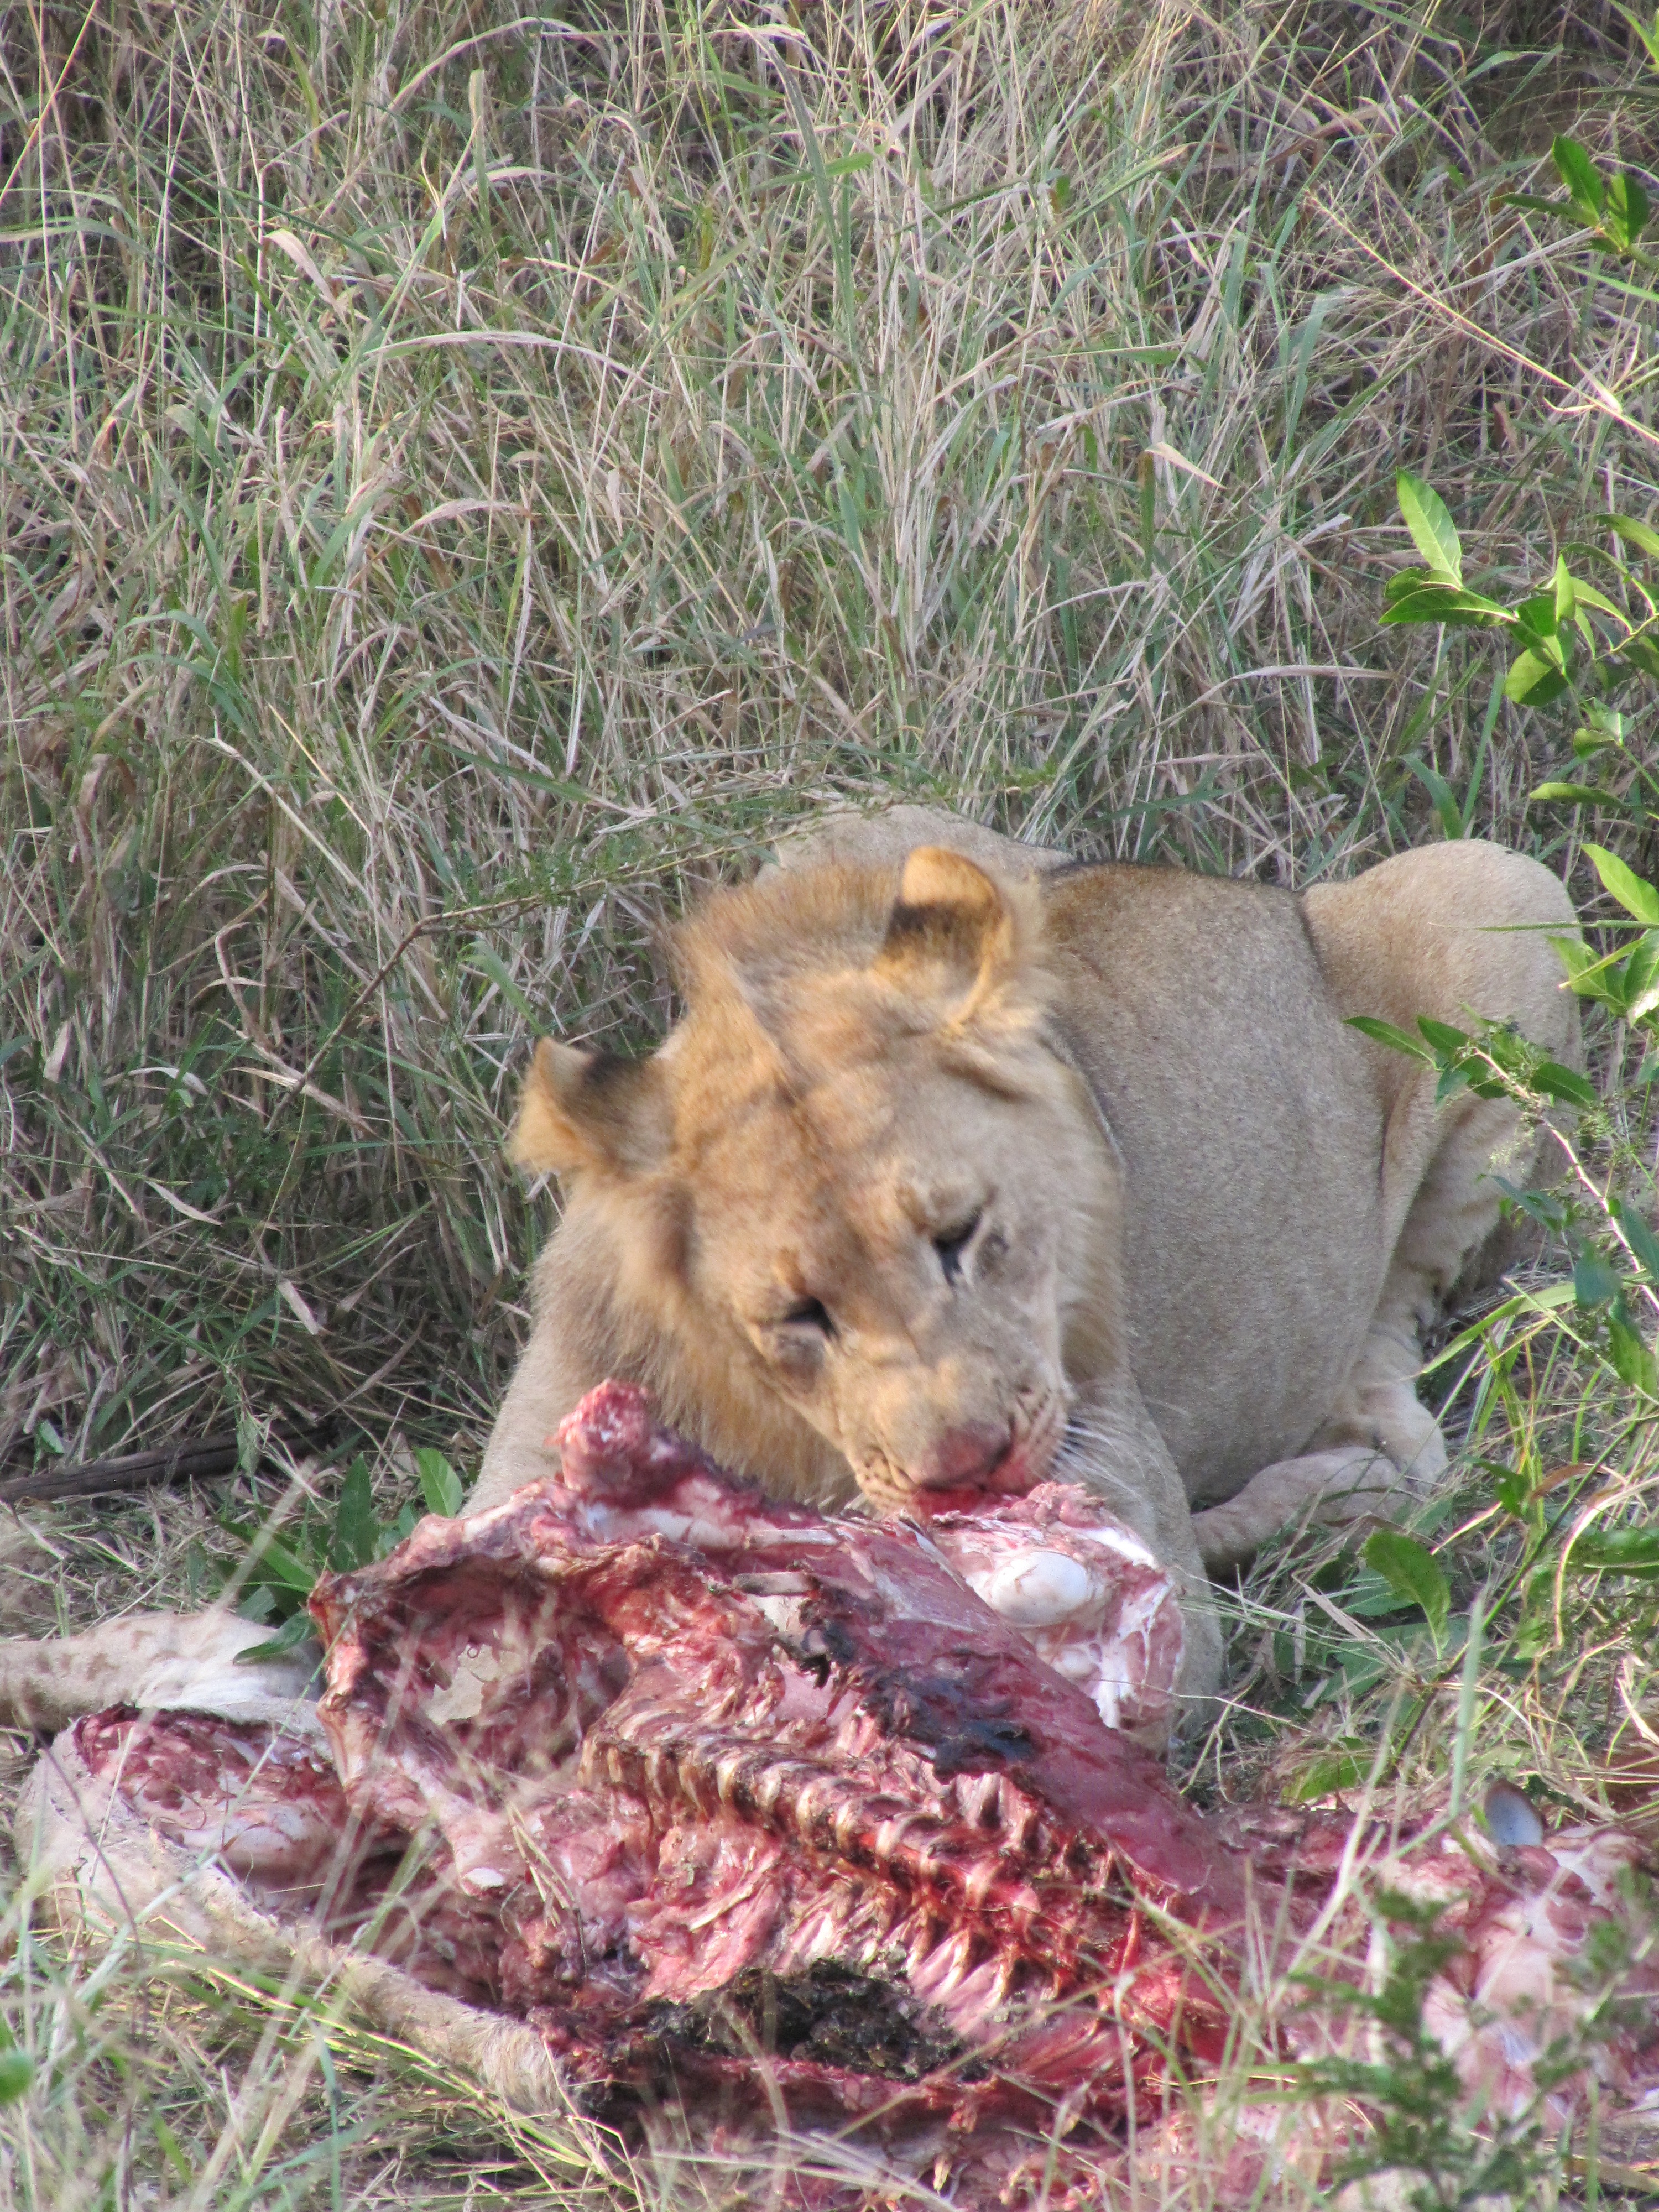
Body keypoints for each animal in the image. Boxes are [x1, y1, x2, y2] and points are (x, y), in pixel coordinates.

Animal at [475, 810, 1580, 1702]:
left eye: (961, 1234)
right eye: (800, 1316)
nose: (966, 1471)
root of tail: (1272, 897)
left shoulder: (1122, 1475)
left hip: (1504, 883)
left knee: (1398, 1356)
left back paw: (1335, 1482)